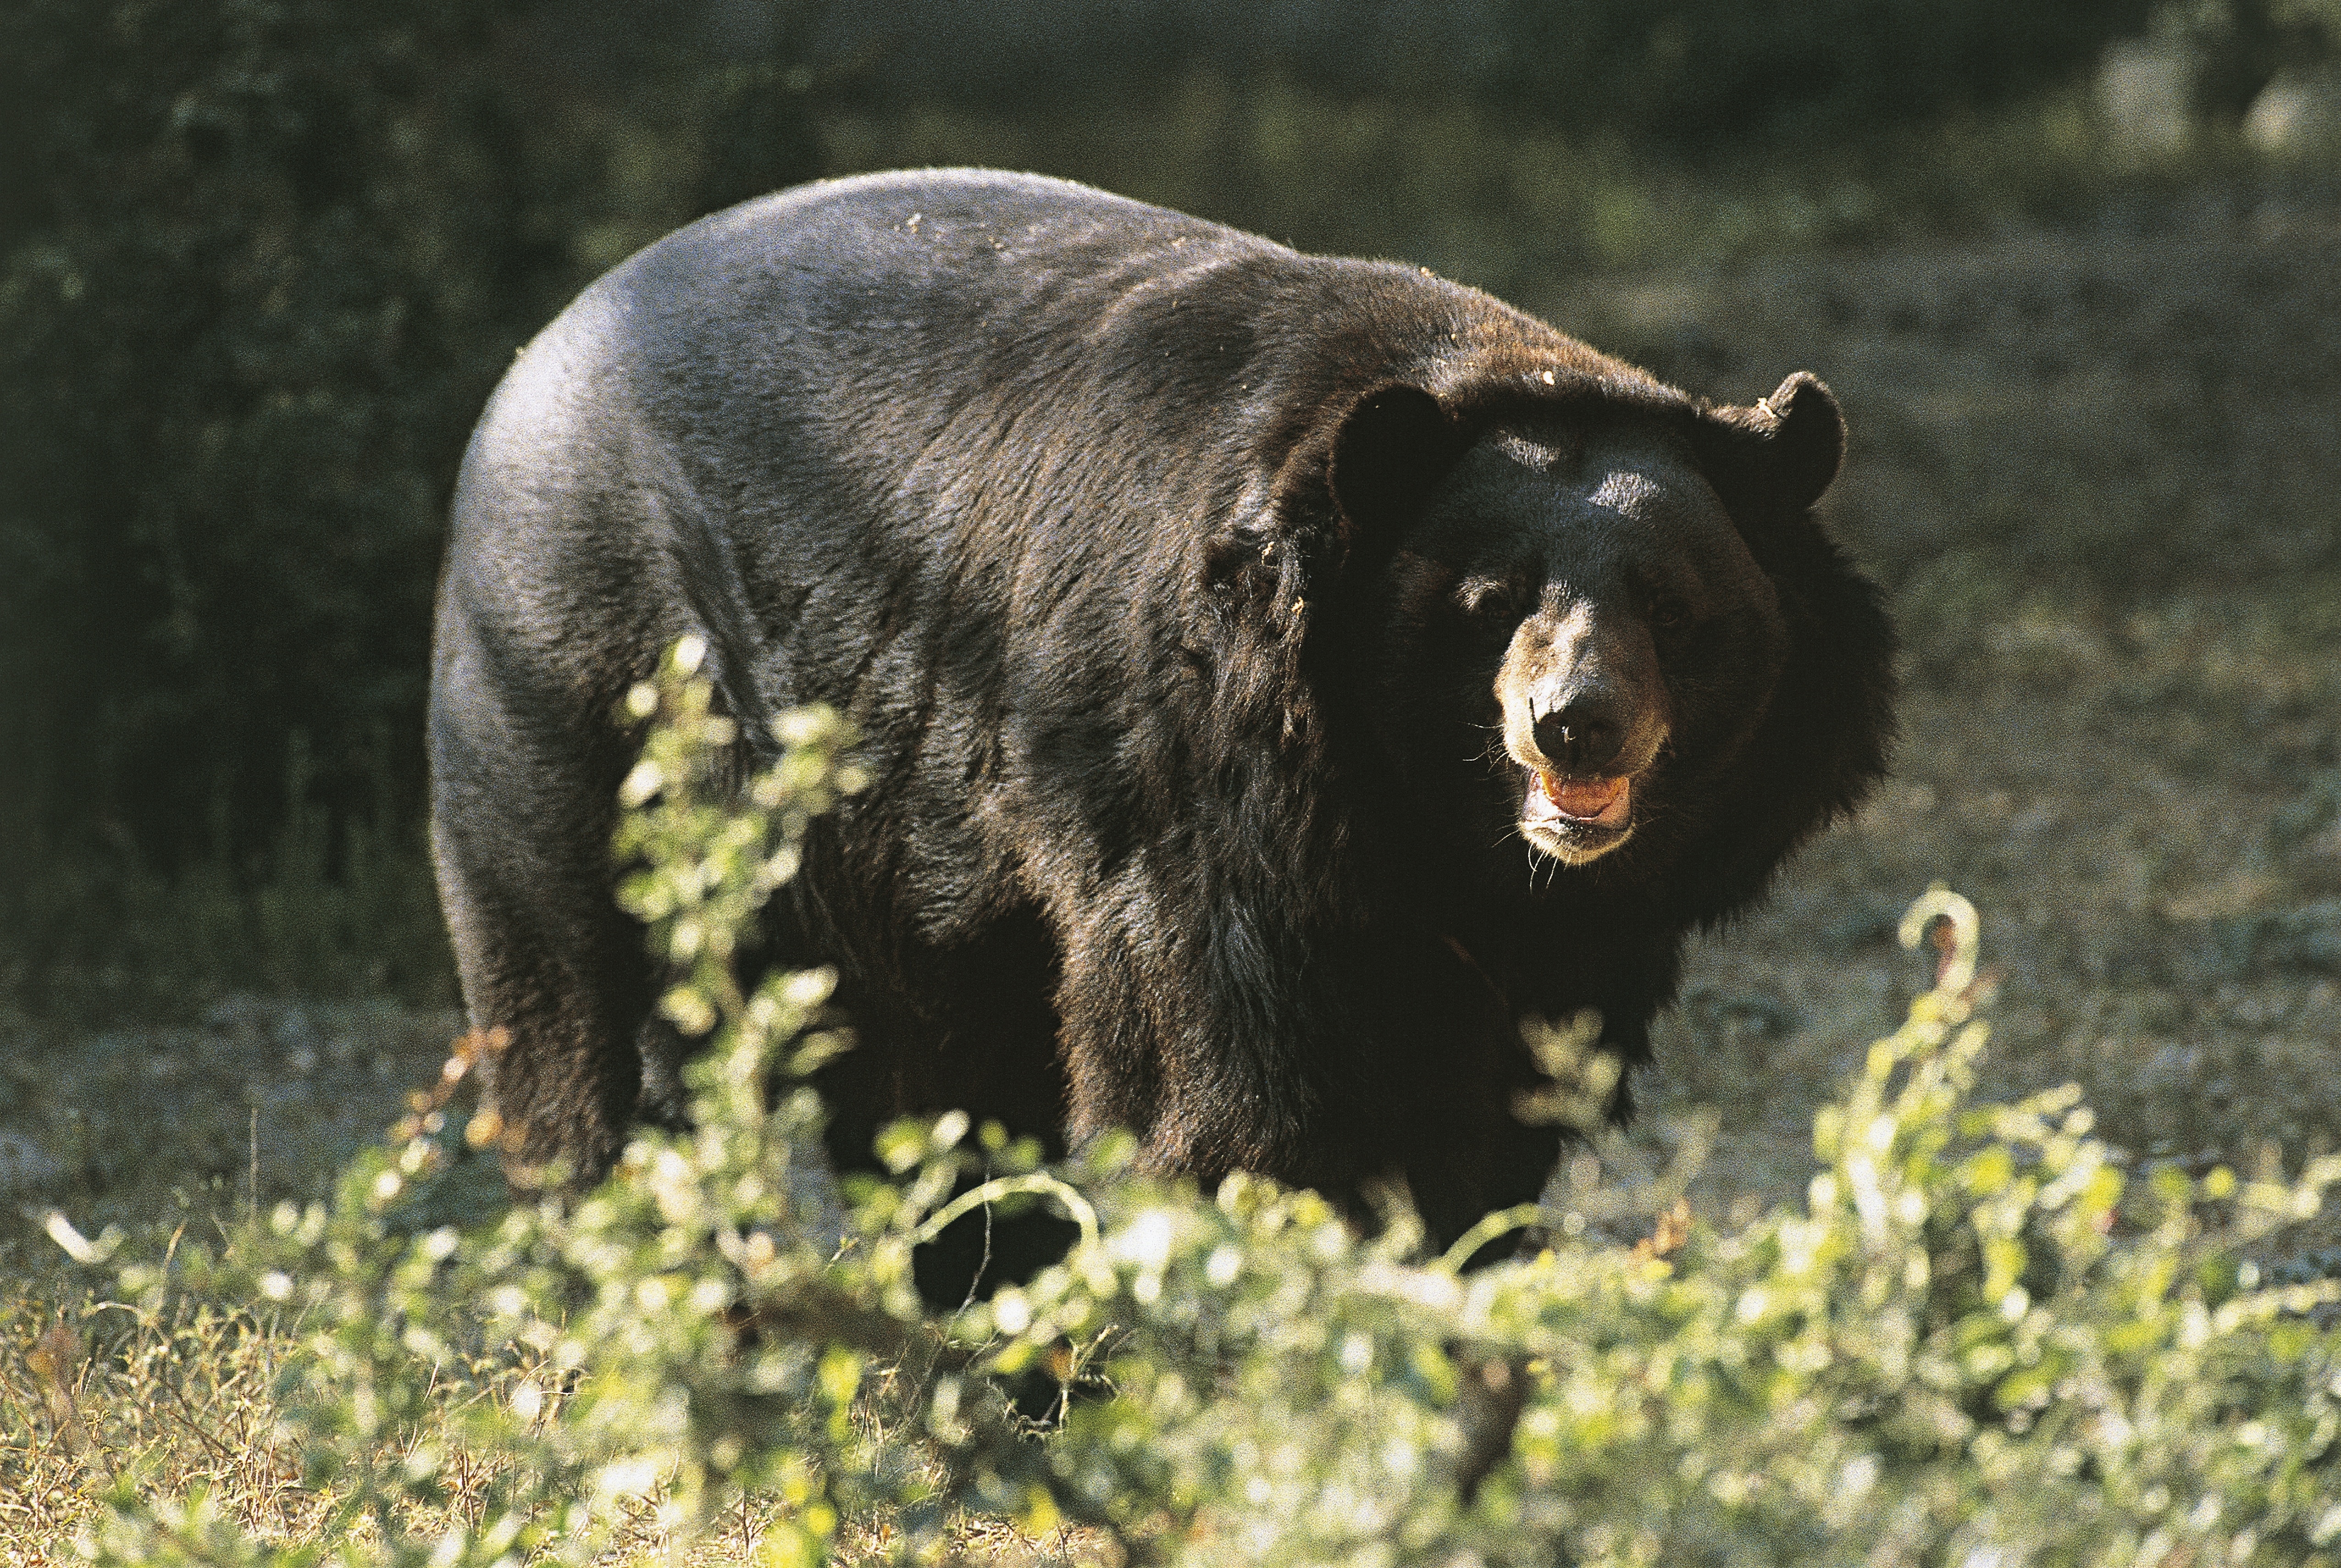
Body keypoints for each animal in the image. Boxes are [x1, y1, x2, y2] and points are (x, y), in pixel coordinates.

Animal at [428, 168, 1894, 1258]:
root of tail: (529, 359)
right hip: (583, 687)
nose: (1575, 723)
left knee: (934, 1085)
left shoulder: (1560, 933)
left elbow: (1489, 1115)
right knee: (581, 1013)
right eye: (1488, 601)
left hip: (890, 868)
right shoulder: (1195, 791)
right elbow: (1225, 1088)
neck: (1426, 825)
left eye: (1672, 602)